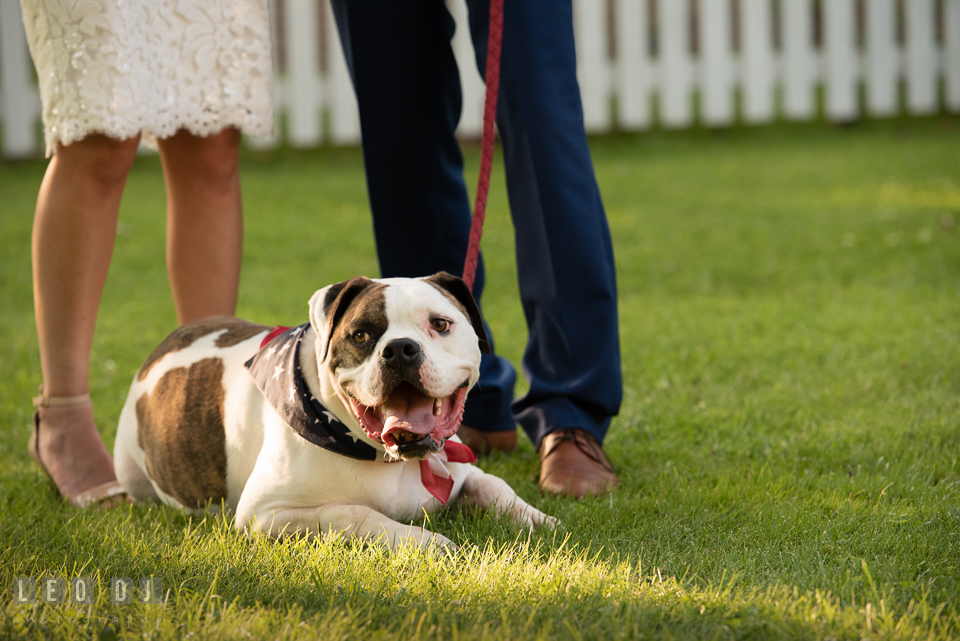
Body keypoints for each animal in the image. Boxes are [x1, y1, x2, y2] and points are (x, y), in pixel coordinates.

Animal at [116, 272, 556, 548]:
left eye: (441, 324)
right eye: (360, 335)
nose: (400, 349)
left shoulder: (462, 469)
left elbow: (495, 487)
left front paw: (539, 519)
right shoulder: (267, 512)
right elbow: (353, 513)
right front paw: (424, 541)